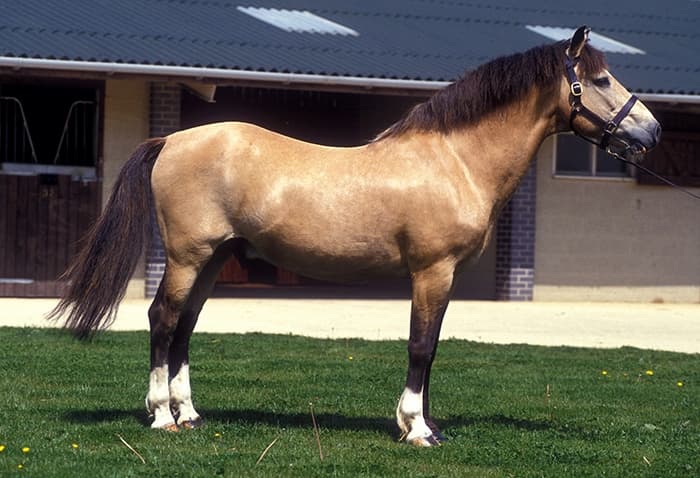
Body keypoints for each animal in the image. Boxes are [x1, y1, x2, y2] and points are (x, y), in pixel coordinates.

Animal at [49, 26, 660, 446]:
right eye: (600, 80)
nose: (651, 130)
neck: (455, 160)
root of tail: (173, 140)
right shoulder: (431, 271)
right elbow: (420, 345)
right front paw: (417, 430)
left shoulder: (446, 278)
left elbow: (434, 348)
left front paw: (424, 423)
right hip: (186, 256)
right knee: (162, 320)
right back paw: (161, 417)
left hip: (214, 259)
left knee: (184, 326)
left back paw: (190, 414)